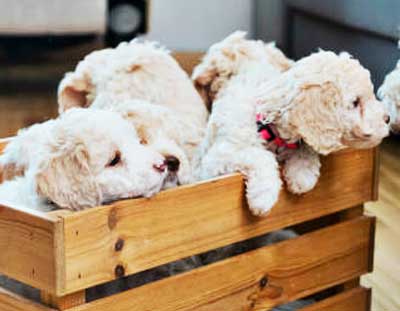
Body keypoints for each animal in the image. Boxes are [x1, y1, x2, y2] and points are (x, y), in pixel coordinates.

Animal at [192, 32, 390, 217]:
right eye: (355, 102)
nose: (387, 118)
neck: (267, 125)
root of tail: (242, 46)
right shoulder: (215, 161)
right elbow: (260, 156)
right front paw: (262, 198)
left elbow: (305, 150)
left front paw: (302, 177)